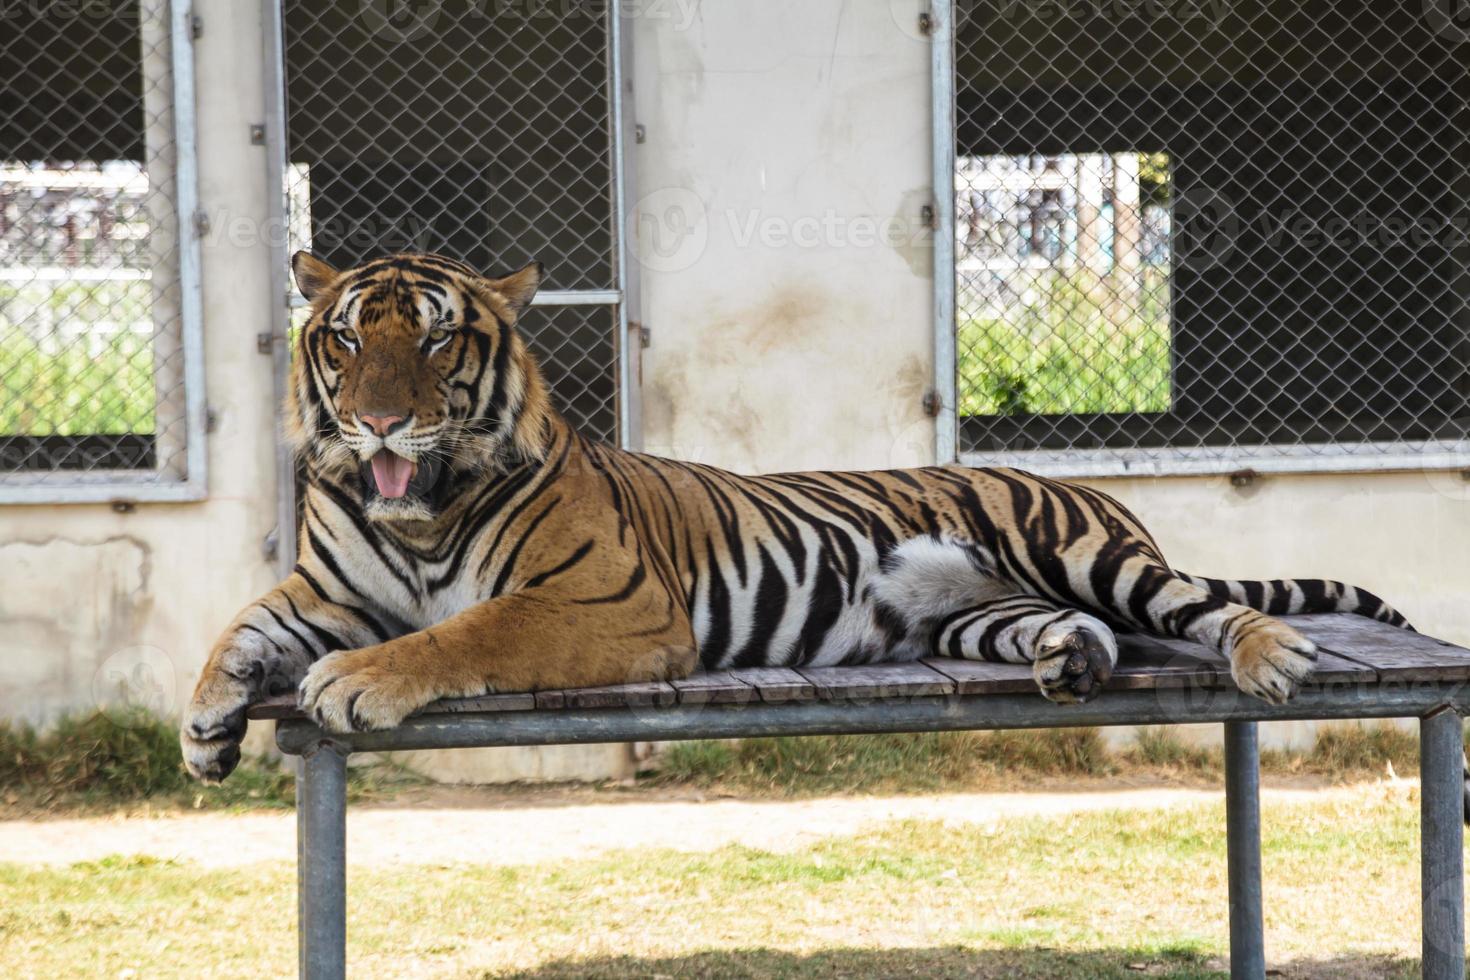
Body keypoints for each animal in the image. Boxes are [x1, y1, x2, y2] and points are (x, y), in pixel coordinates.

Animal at [180, 251, 1411, 781]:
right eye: (347, 338)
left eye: (437, 339)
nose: (380, 422)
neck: (419, 514)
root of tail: (1088, 486)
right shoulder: (329, 589)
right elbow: (238, 627)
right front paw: (206, 723)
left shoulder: (606, 600)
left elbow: (463, 630)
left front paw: (355, 681)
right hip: (982, 613)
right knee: (1095, 629)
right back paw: (1072, 663)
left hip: (1079, 547)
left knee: (1196, 606)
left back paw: (1269, 656)